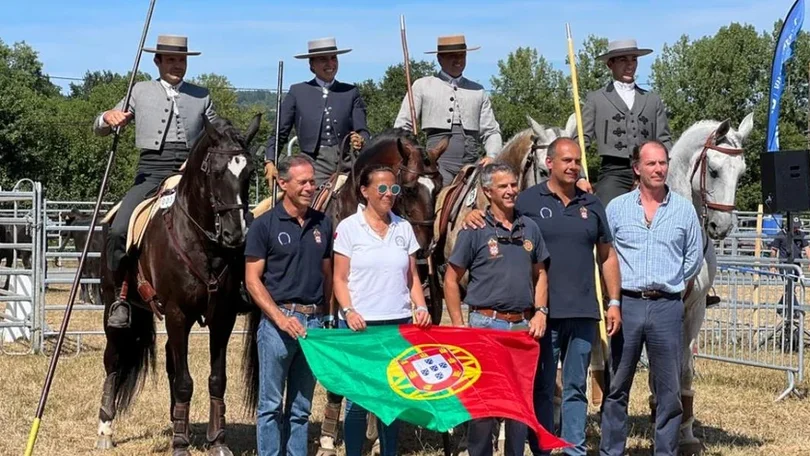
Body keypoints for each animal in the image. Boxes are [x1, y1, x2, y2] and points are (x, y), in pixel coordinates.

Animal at [95, 115, 260, 456]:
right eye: (215, 172)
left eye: (249, 172)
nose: (235, 235)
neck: (201, 242)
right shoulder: (177, 313)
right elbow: (185, 381)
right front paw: (181, 445)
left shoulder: (222, 318)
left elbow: (216, 379)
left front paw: (216, 441)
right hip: (113, 310)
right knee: (113, 360)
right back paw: (105, 428)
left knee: (171, 360)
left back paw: (176, 422)